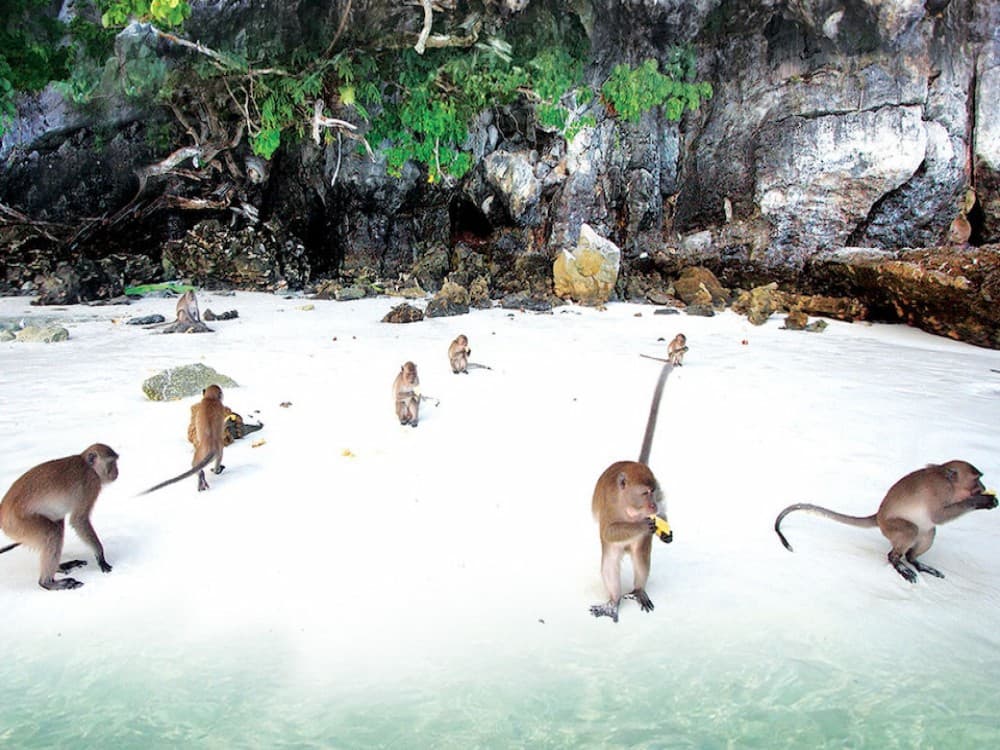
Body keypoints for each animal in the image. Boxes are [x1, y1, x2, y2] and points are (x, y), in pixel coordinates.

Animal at [0, 444, 119, 590]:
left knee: (57, 522)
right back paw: (47, 582)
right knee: (53, 533)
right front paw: (100, 555)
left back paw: (58, 568)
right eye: (111, 463)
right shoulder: (91, 483)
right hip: (18, 524)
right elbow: (79, 520)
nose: (117, 472)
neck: (87, 465)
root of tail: (2, 510)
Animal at [590, 363, 674, 623]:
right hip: (616, 549)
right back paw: (613, 601)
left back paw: (639, 590)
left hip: (640, 546)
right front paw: (643, 525)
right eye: (645, 493)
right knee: (610, 563)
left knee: (641, 559)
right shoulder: (609, 504)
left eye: (653, 491)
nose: (653, 506)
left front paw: (664, 530)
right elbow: (609, 530)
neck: (629, 506)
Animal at [774, 460, 998, 583]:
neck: (949, 483)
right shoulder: (939, 491)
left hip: (911, 532)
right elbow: (938, 516)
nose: (983, 486)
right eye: (977, 478)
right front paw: (984, 501)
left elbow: (936, 520)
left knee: (927, 533)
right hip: (891, 527)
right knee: (910, 531)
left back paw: (915, 561)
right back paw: (898, 562)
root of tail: (878, 516)